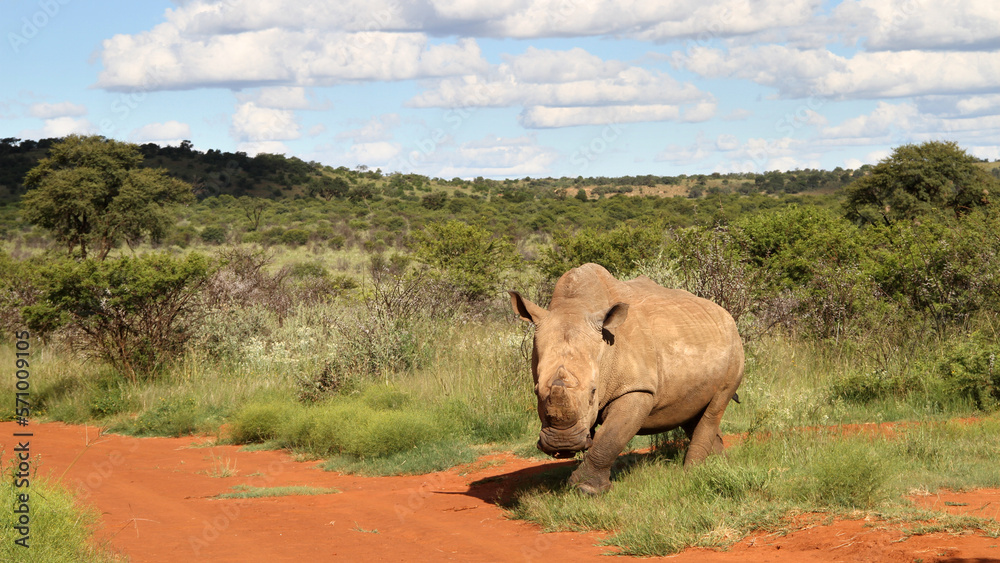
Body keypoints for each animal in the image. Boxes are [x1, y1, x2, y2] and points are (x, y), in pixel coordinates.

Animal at [509, 263, 744, 494]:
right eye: (536, 391)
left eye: (593, 392)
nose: (562, 444)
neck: (576, 305)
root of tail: (726, 315)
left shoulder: (637, 388)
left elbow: (610, 438)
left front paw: (585, 489)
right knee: (691, 410)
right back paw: (718, 466)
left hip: (735, 347)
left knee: (715, 406)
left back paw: (691, 474)